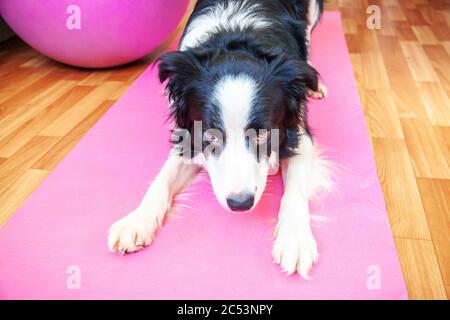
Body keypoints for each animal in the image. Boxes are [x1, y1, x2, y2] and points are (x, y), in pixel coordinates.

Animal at [108, 0, 332, 278]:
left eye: (263, 133)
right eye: (210, 135)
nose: (240, 203)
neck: (236, 39)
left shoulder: (297, 131)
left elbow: (295, 191)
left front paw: (295, 240)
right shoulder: (188, 133)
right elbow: (161, 179)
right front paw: (136, 220)